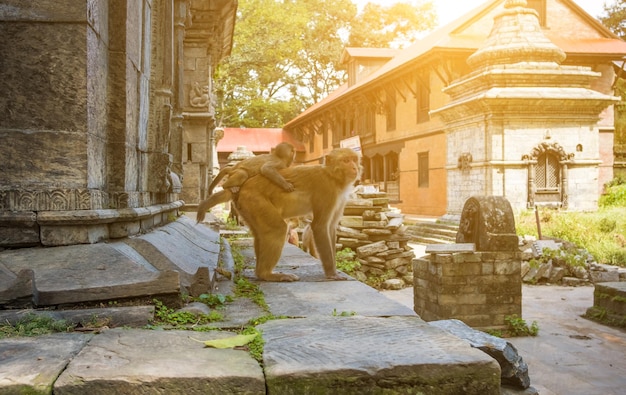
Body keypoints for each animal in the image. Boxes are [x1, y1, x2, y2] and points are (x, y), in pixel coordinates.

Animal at [235, 148, 360, 282]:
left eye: (354, 159)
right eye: (346, 161)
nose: (354, 167)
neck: (333, 177)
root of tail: (242, 189)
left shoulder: (339, 197)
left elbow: (331, 228)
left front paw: (335, 270)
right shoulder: (327, 190)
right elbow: (320, 226)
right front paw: (332, 273)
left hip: (249, 207)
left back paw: (259, 273)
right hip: (255, 200)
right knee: (277, 229)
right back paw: (266, 274)